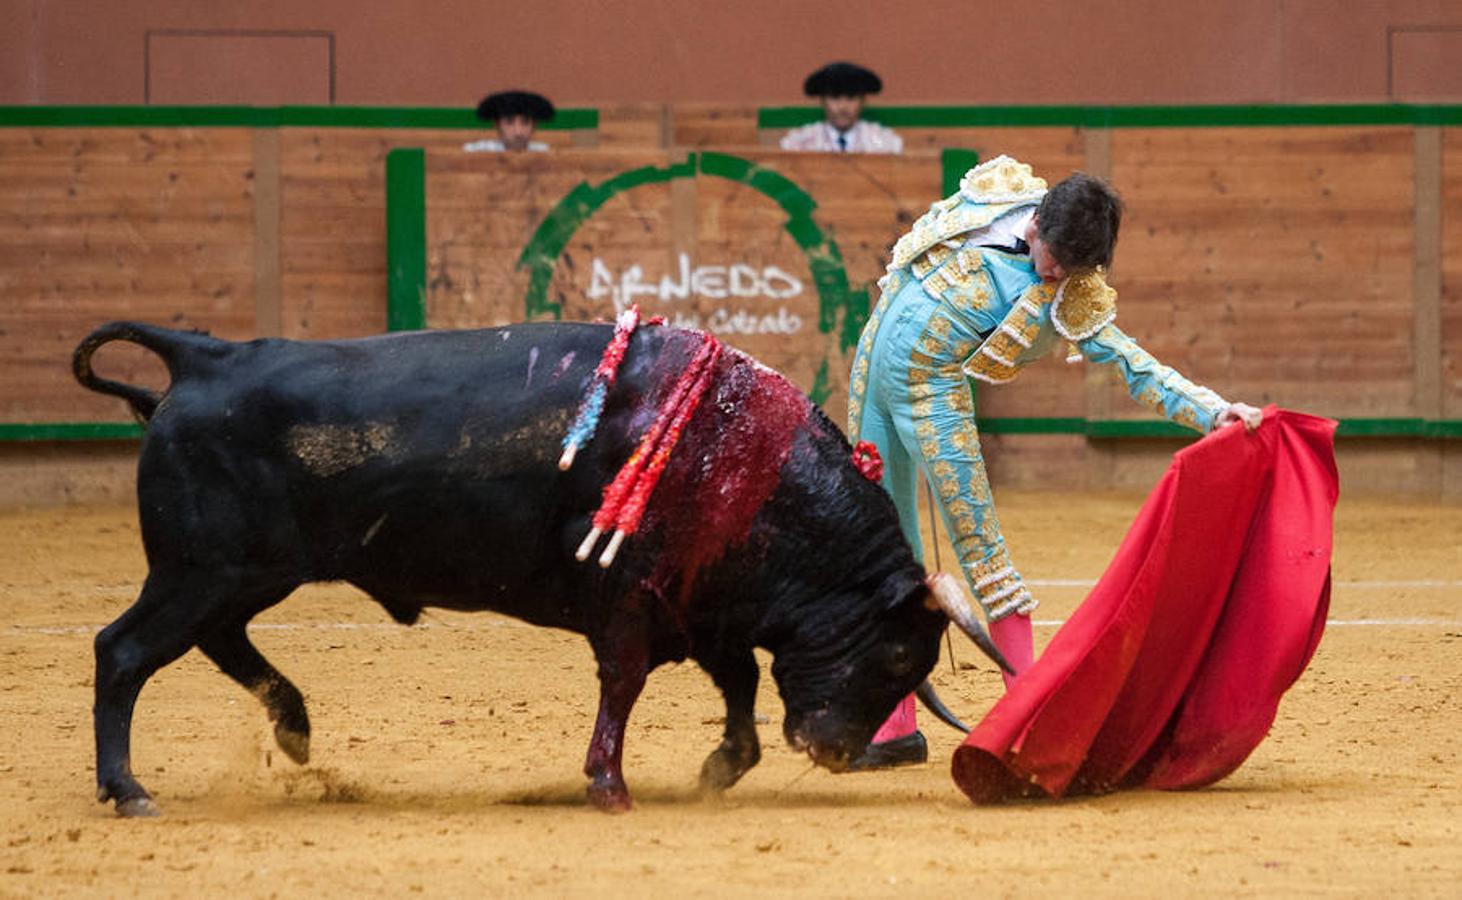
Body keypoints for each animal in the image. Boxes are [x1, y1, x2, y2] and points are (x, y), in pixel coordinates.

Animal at [71, 318, 1005, 818]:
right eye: (896, 653)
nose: (835, 751)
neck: (739, 454)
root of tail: (208, 355)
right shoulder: (629, 601)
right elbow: (626, 682)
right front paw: (609, 786)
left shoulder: (700, 605)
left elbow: (736, 683)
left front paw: (716, 770)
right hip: (202, 572)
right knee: (124, 651)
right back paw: (129, 788)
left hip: (240, 575)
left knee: (216, 642)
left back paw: (295, 728)